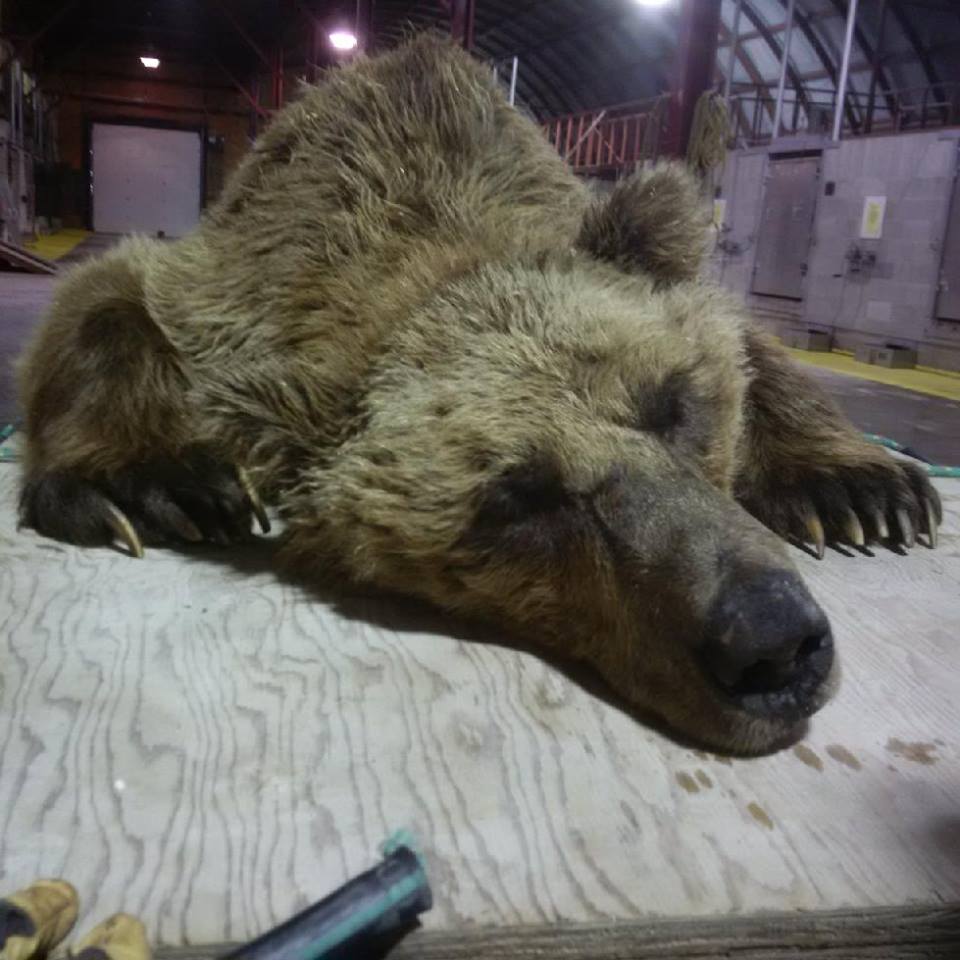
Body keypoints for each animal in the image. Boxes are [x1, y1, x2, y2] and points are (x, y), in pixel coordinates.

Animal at [16, 35, 941, 754]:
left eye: (672, 402)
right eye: (518, 497)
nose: (772, 641)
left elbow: (754, 341)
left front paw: (859, 488)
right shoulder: (234, 282)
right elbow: (106, 293)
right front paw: (158, 480)